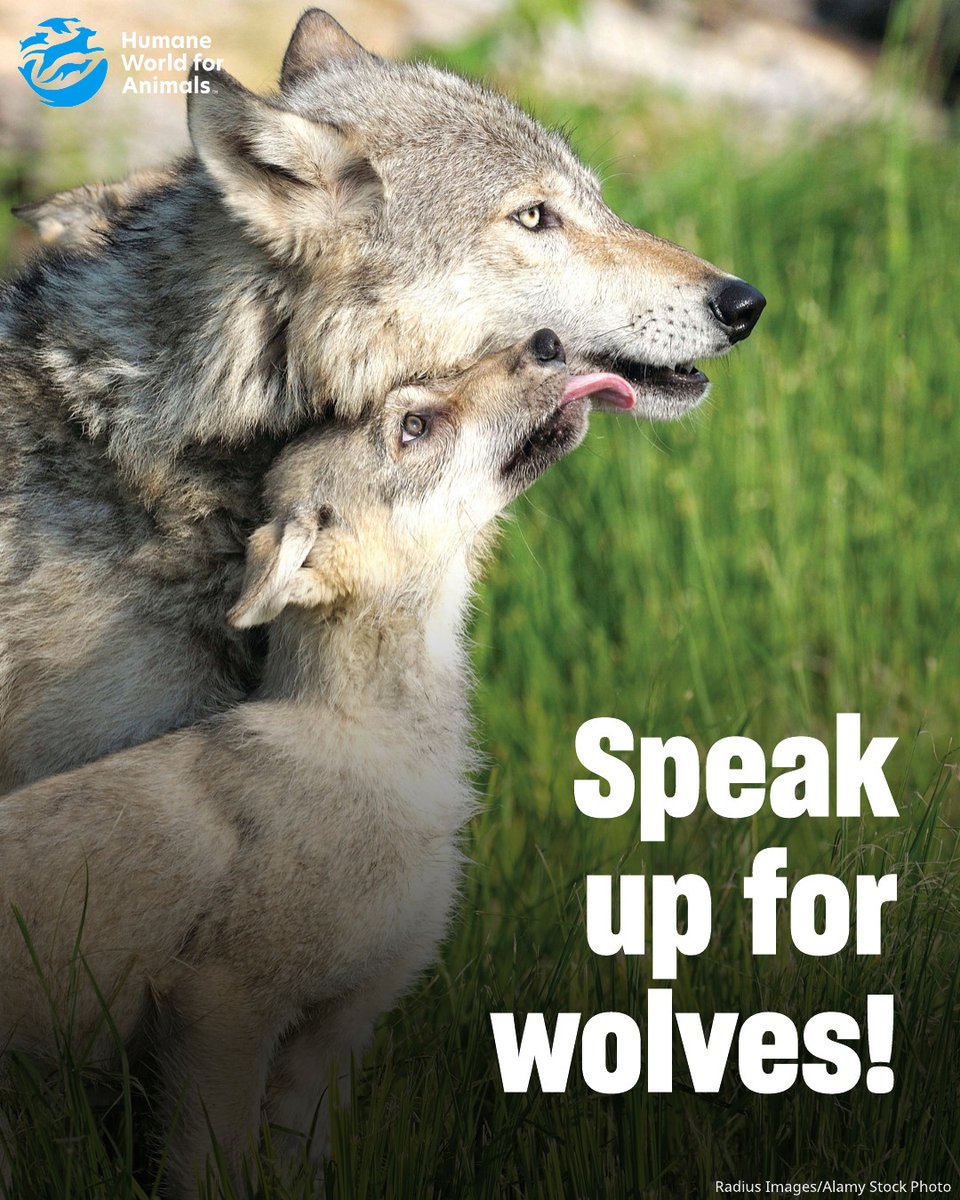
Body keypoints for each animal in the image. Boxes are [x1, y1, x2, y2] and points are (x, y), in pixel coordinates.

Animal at [0, 330, 615, 1197]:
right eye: (413, 427)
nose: (548, 341)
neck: (373, 747)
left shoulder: (333, 1031)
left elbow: (301, 1160)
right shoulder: (220, 1011)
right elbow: (211, 1167)